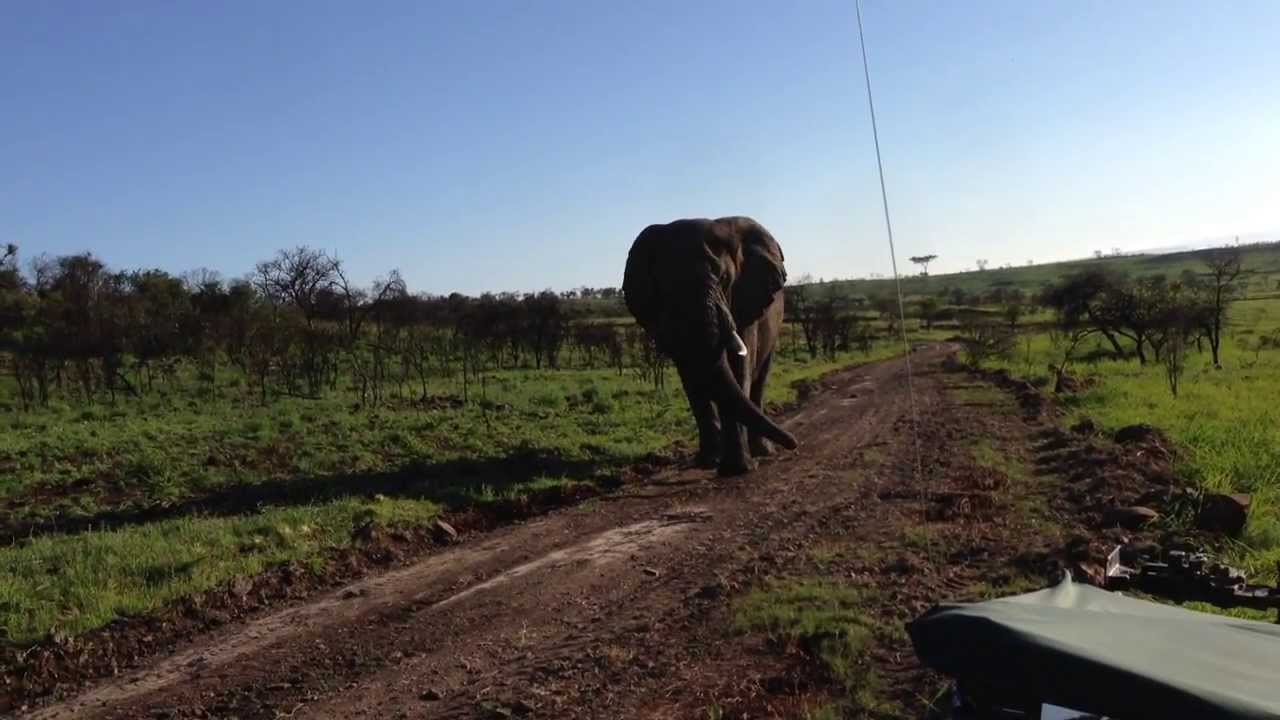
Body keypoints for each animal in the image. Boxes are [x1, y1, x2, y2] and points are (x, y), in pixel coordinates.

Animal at [623, 216, 798, 476]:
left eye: (723, 278)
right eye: (665, 285)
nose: (794, 444)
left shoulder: (743, 304)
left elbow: (739, 368)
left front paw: (737, 469)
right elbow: (693, 379)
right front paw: (710, 462)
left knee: (759, 380)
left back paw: (763, 452)